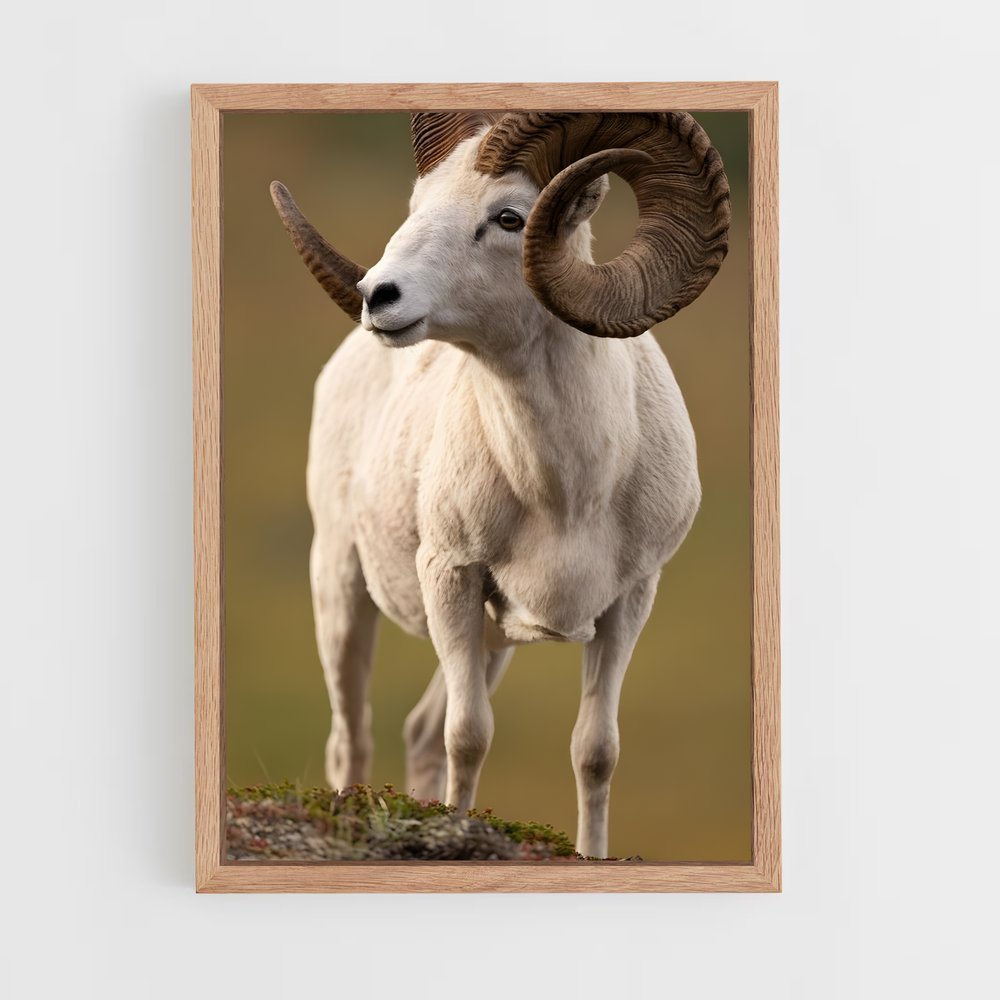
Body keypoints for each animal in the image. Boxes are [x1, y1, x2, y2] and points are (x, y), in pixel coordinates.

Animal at [270, 111, 730, 859]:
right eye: (417, 205)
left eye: (509, 217)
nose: (378, 297)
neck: (566, 491)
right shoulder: (452, 578)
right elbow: (469, 736)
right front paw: (457, 835)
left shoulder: (628, 602)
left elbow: (595, 750)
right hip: (341, 586)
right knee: (354, 737)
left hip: (492, 643)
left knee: (419, 731)